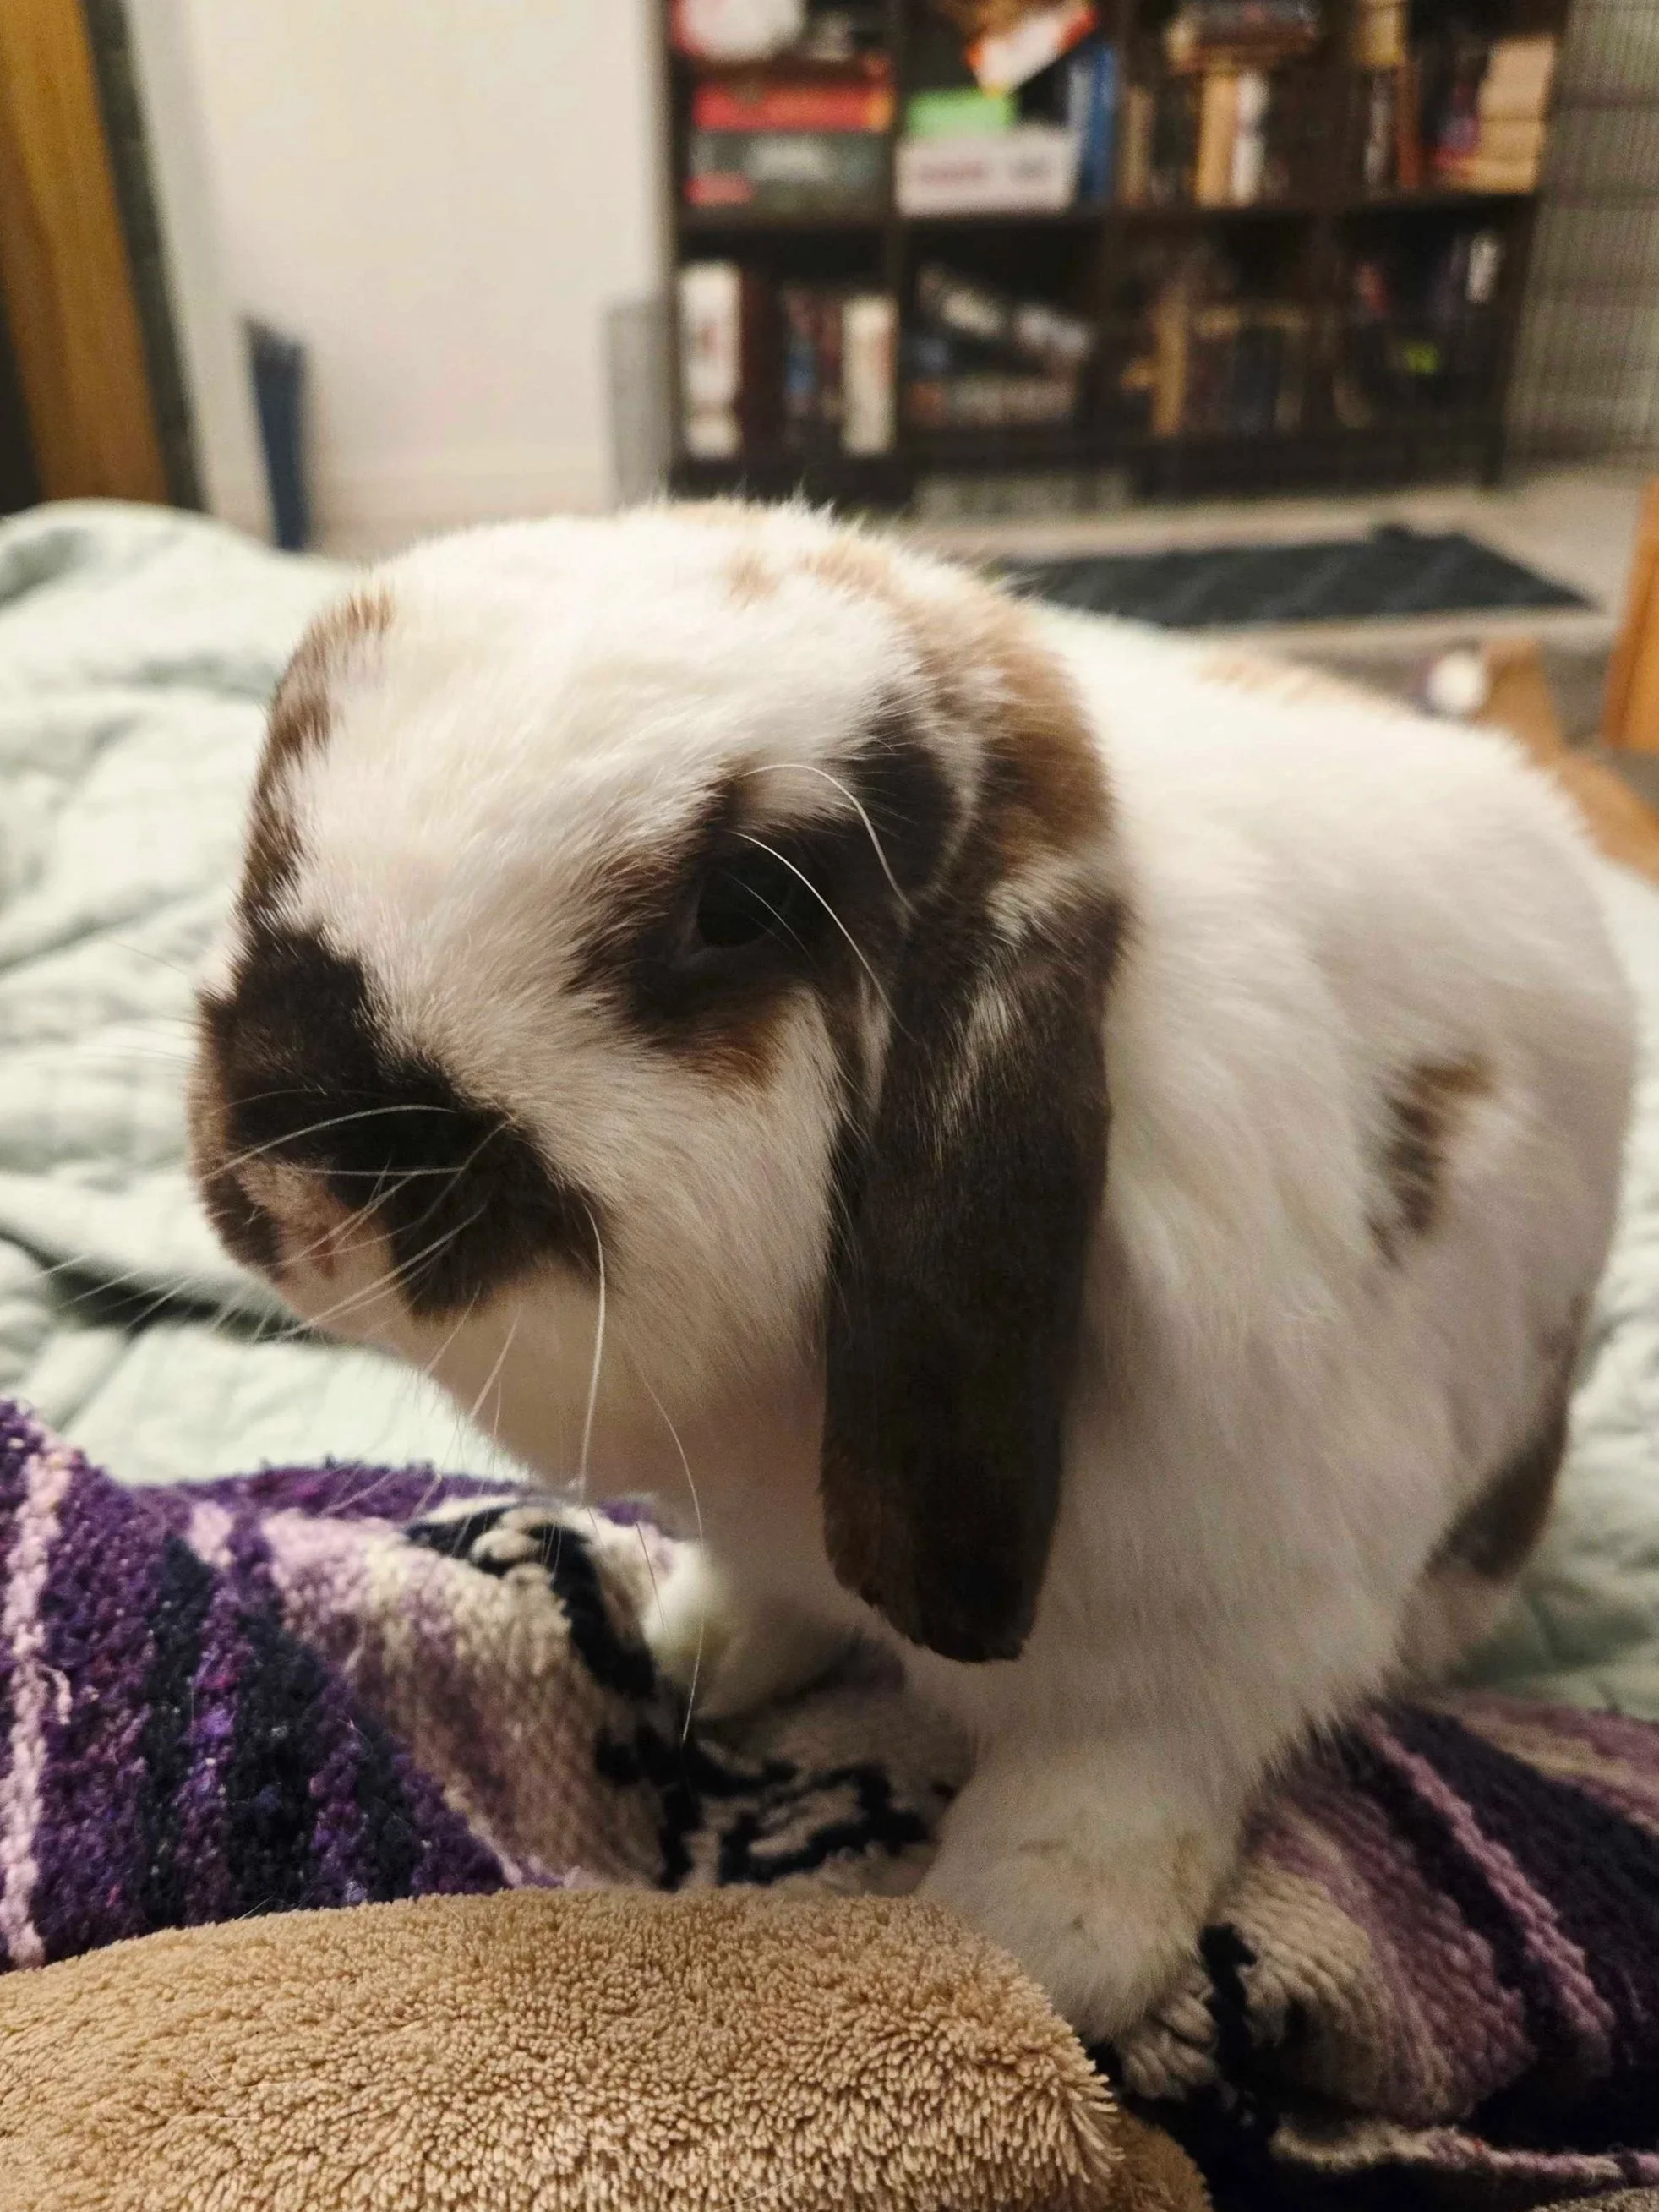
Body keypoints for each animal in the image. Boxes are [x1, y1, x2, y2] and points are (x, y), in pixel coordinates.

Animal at [189, 501, 1634, 2043]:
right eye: (274, 808)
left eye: (738, 906)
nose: (291, 1166)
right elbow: (760, 1598)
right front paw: (686, 1654)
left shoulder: (1210, 1647)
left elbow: (1111, 1785)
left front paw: (1026, 1949)